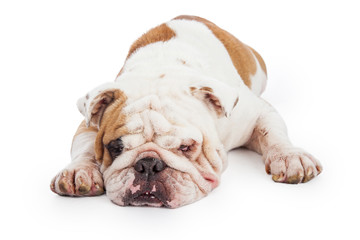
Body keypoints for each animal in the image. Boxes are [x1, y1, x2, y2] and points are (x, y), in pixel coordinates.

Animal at [49, 15, 322, 208]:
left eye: (186, 147)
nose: (148, 164)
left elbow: (272, 132)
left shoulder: (256, 112)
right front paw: (79, 171)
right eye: (115, 147)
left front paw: (290, 157)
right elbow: (85, 147)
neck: (161, 70)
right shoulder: (88, 123)